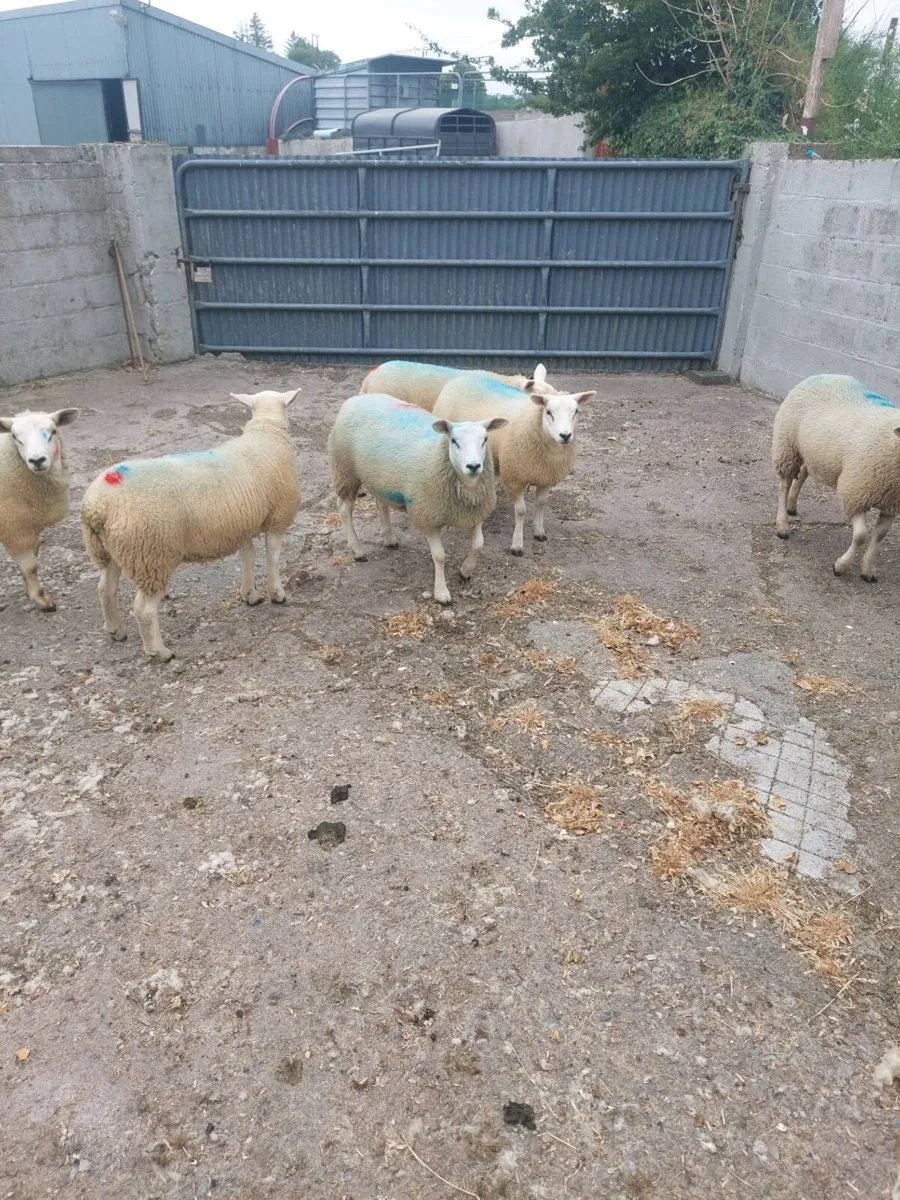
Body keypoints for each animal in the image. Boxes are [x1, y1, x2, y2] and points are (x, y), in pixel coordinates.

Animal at [0, 407, 80, 612]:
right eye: (15, 437)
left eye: (53, 432)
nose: (37, 460)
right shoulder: (14, 527)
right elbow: (31, 567)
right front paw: (41, 600)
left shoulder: (29, 525)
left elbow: (32, 560)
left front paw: (29, 591)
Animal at [80, 389, 301, 661]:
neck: (266, 433)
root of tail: (97, 506)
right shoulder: (277, 517)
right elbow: (272, 559)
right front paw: (277, 594)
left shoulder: (240, 524)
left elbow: (248, 557)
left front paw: (250, 594)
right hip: (152, 555)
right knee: (143, 609)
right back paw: (159, 651)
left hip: (113, 550)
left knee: (105, 589)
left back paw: (116, 631)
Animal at [328, 392, 508, 605]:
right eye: (454, 441)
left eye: (485, 439)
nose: (473, 466)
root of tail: (357, 398)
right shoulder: (427, 516)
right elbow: (439, 556)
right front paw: (441, 592)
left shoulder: (476, 511)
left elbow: (479, 544)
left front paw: (465, 571)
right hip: (345, 470)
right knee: (344, 509)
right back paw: (358, 550)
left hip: (379, 478)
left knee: (380, 503)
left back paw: (389, 538)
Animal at [431, 366, 595, 555]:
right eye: (548, 412)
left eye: (576, 411)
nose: (565, 435)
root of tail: (465, 376)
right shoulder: (514, 478)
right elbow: (521, 511)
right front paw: (517, 544)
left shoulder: (546, 477)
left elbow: (541, 504)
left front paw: (539, 531)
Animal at [772, 373, 900, 582]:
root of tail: (823, 374)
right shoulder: (855, 493)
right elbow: (861, 535)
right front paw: (840, 566)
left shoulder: (891, 503)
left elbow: (880, 536)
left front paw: (868, 570)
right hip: (787, 445)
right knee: (785, 483)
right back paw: (782, 525)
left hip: (812, 450)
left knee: (804, 472)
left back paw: (792, 505)